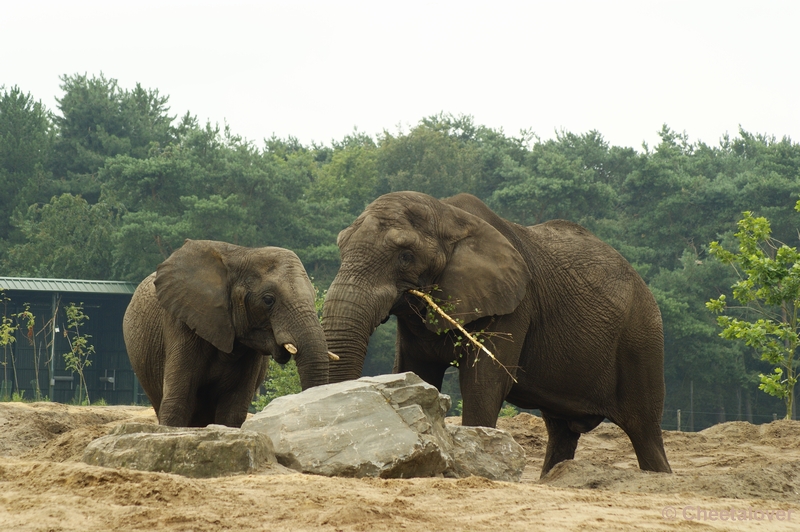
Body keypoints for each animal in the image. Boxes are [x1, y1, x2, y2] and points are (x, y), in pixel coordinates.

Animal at [322, 193, 672, 476]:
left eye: (405, 256)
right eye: (341, 246)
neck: (447, 214)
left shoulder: (513, 306)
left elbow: (483, 384)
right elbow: (417, 373)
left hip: (641, 339)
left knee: (644, 430)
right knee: (562, 431)